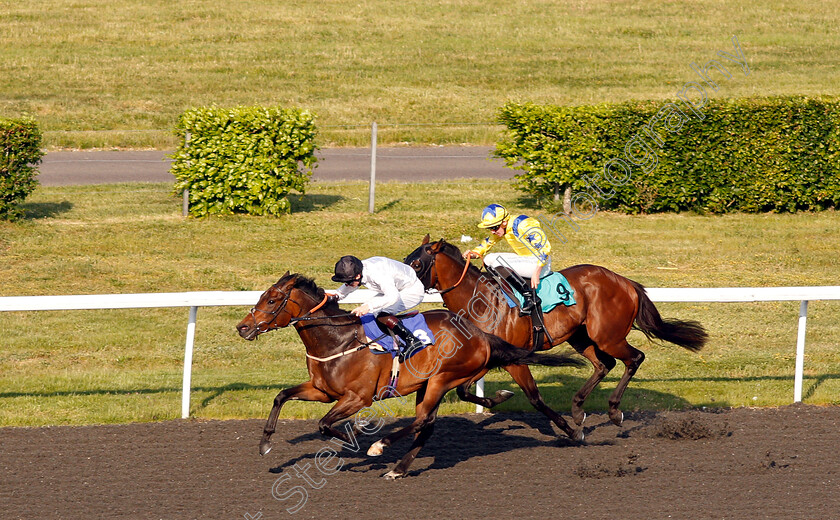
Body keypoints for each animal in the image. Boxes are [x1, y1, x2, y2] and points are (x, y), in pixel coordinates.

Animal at [233, 272, 580, 480]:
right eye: (260, 296)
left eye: (273, 300)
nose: (243, 327)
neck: (338, 340)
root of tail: (480, 333)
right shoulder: (322, 391)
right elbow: (281, 396)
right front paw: (265, 444)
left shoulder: (357, 398)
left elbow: (325, 425)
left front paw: (355, 437)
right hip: (428, 384)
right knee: (428, 424)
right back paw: (398, 468)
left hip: (441, 379)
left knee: (422, 420)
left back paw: (381, 447)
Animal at [404, 238, 704, 436]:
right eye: (406, 260)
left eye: (416, 263)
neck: (483, 302)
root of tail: (626, 282)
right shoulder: (489, 356)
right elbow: (464, 391)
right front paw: (498, 397)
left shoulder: (515, 358)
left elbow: (535, 398)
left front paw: (569, 430)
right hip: (581, 336)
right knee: (604, 364)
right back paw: (578, 408)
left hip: (608, 336)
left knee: (634, 358)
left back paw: (613, 411)